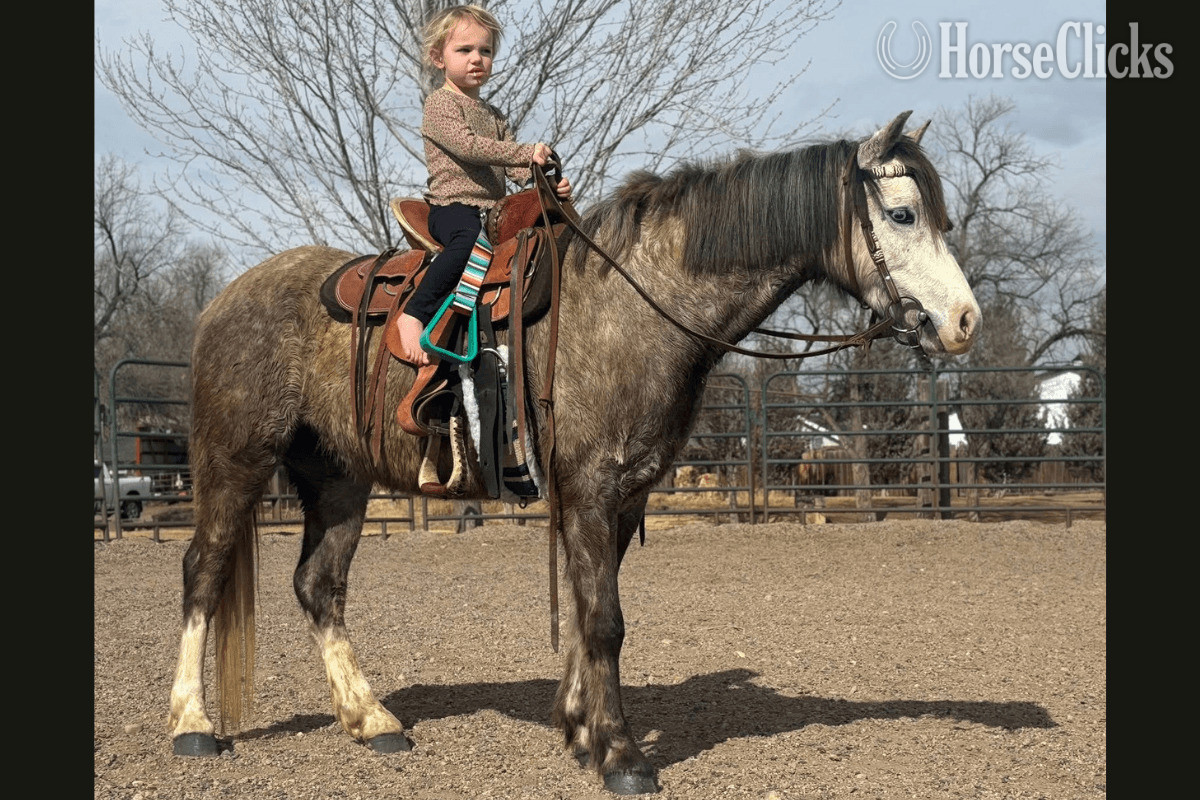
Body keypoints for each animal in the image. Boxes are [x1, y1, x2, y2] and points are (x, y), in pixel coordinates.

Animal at [166, 110, 980, 795]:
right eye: (902, 214)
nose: (965, 321)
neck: (638, 305)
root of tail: (225, 298)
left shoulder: (624, 494)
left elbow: (593, 614)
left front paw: (581, 728)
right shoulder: (590, 489)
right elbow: (605, 622)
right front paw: (621, 755)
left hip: (338, 477)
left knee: (320, 587)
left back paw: (372, 720)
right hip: (235, 460)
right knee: (204, 570)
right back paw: (193, 724)